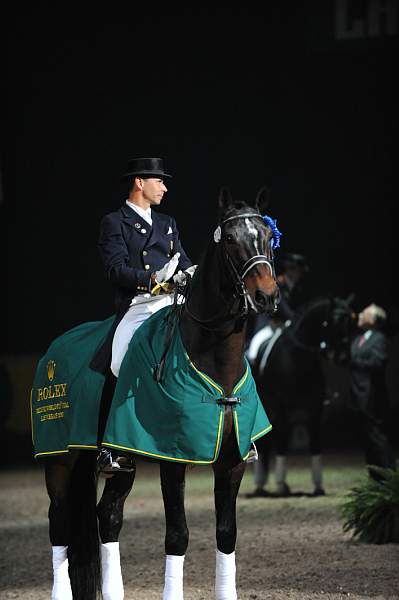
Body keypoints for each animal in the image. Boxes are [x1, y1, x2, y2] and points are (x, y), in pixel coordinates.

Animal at [31, 189, 280, 600]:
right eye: (230, 239)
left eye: (267, 237)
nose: (265, 296)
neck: (215, 363)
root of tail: (54, 350)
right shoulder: (171, 458)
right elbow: (177, 536)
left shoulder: (233, 461)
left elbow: (226, 534)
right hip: (59, 460)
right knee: (60, 522)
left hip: (121, 459)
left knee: (108, 516)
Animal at [248, 294, 354, 496]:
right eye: (334, 321)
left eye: (351, 321)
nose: (344, 358)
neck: (296, 358)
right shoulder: (280, 406)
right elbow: (282, 438)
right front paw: (281, 484)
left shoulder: (315, 406)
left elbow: (315, 439)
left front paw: (318, 485)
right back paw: (259, 484)